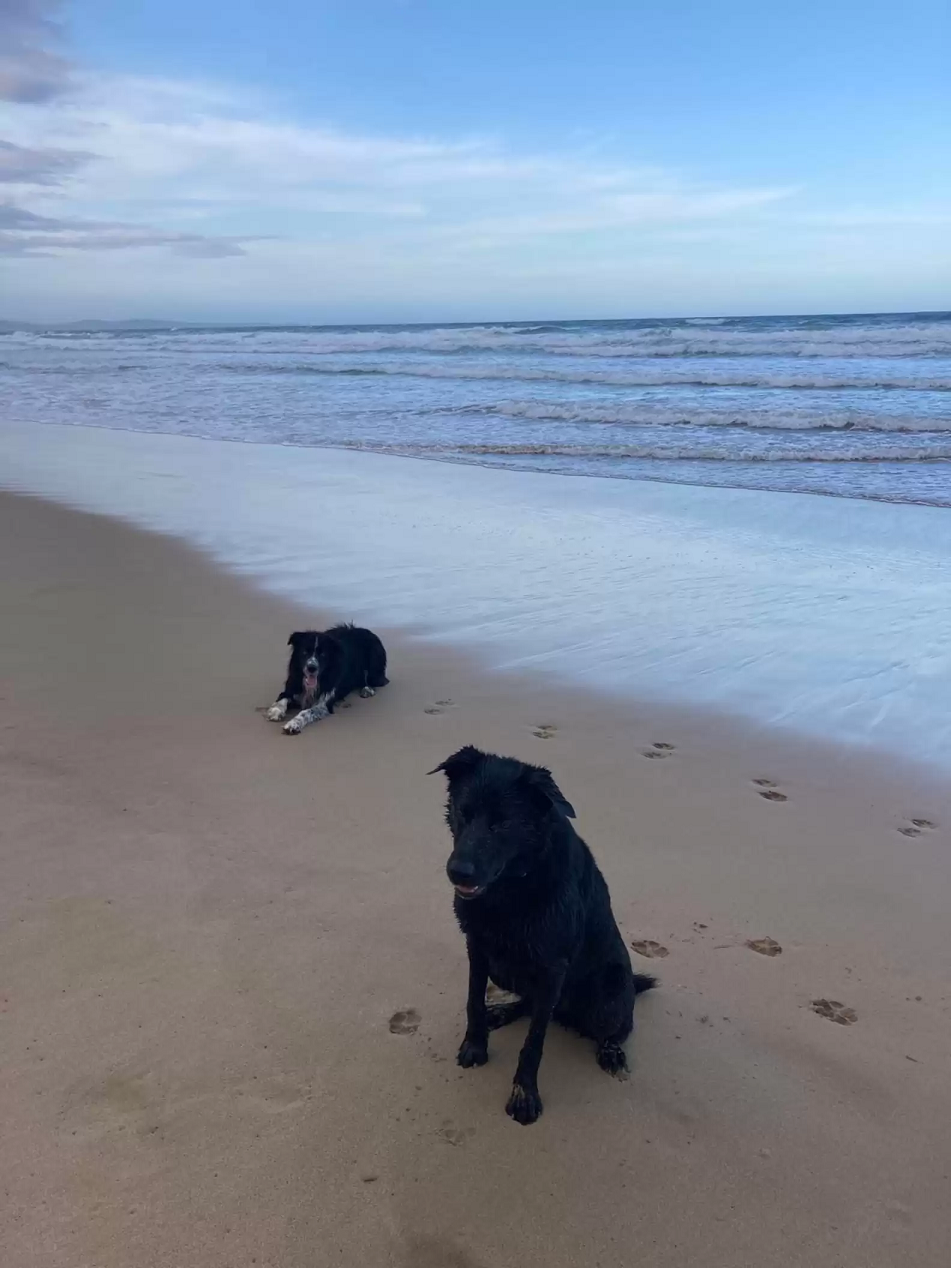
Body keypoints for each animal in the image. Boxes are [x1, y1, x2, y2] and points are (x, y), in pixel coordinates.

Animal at [431, 745, 654, 1125]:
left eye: (503, 823)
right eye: (463, 812)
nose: (457, 872)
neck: (512, 886)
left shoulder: (553, 968)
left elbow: (534, 1042)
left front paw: (524, 1094)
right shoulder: (477, 946)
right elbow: (473, 1000)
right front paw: (475, 1044)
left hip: (609, 996)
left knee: (618, 1026)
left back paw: (611, 1051)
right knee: (531, 1002)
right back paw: (501, 1013)